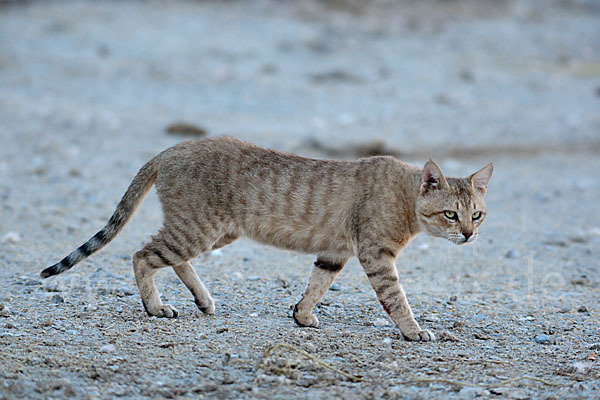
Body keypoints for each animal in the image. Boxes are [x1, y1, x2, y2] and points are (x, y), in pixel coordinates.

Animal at [42, 137, 492, 340]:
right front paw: (414, 331)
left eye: (477, 214)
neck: (404, 194)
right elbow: (397, 298)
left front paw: (302, 315)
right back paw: (155, 307)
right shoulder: (376, 254)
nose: (469, 235)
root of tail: (173, 147)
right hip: (199, 228)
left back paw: (202, 299)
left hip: (214, 232)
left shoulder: (335, 251)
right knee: (141, 255)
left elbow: (317, 284)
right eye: (451, 214)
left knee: (169, 257)